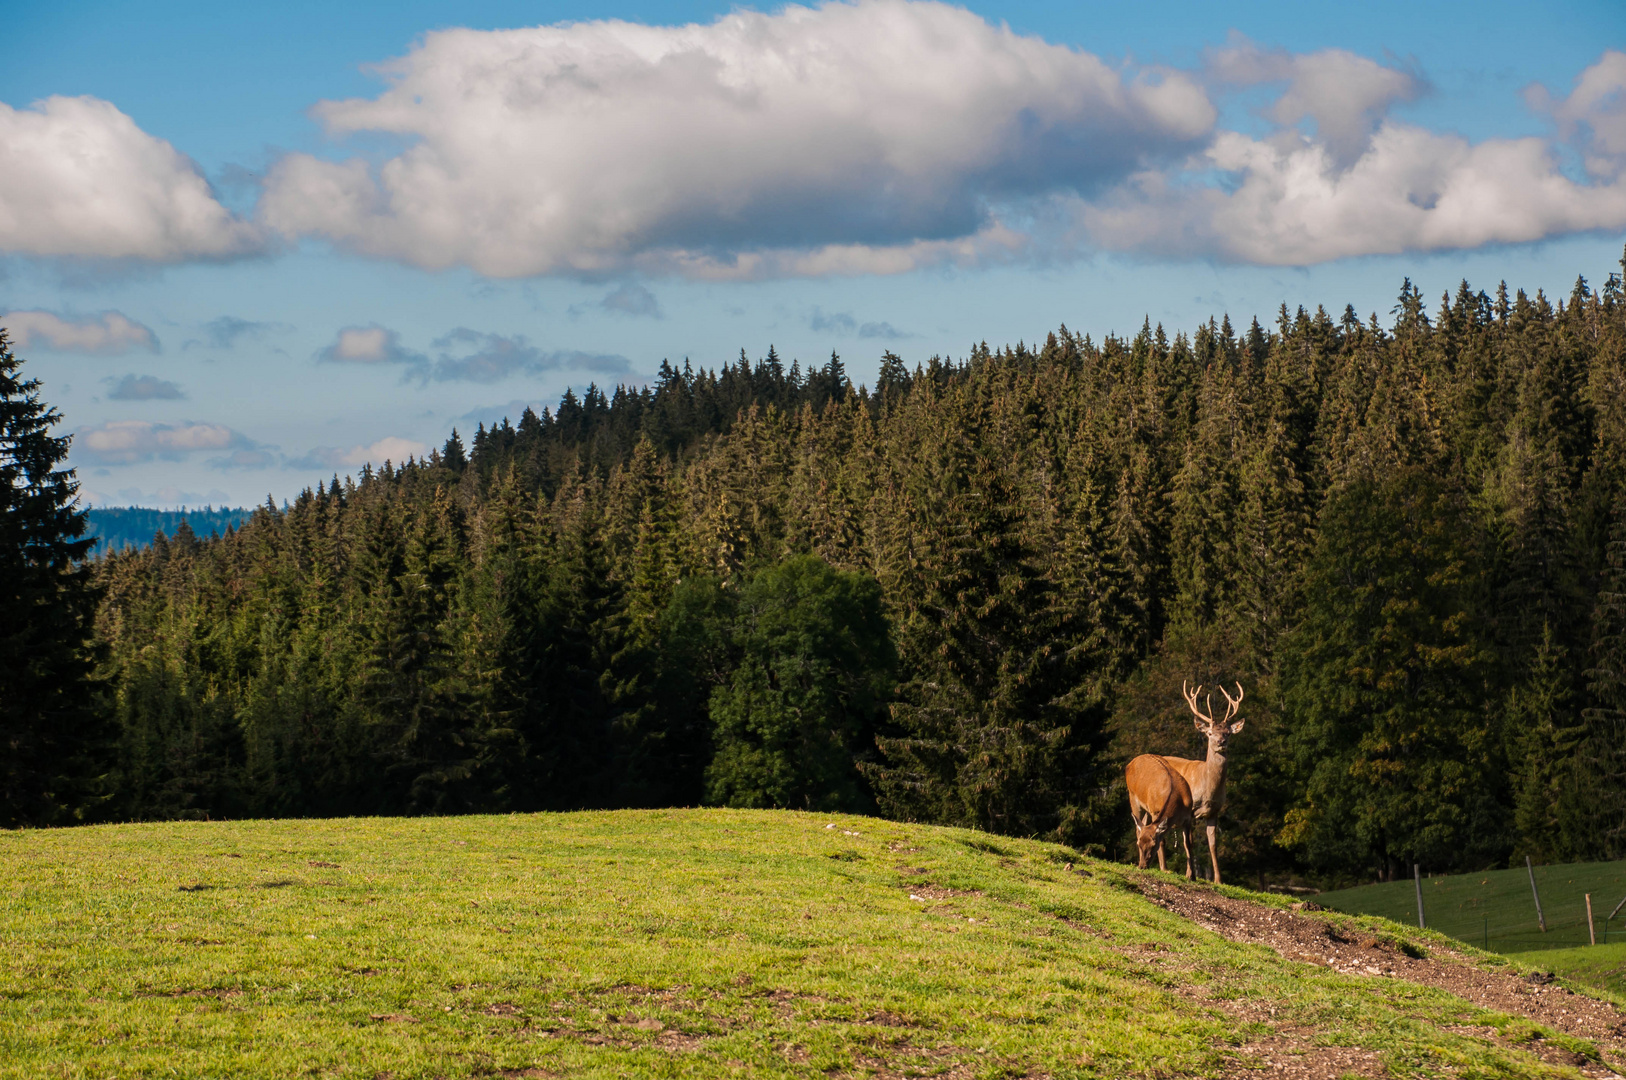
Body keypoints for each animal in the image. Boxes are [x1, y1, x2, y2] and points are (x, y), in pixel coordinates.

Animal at [1157, 683, 1242, 884]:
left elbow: (1213, 845)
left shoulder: (1214, 812)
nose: (1221, 742)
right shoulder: (1191, 811)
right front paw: (1190, 874)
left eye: (1228, 733)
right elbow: (1189, 842)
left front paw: (1218, 879)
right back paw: (1164, 868)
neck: (1207, 790)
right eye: (1210, 733)